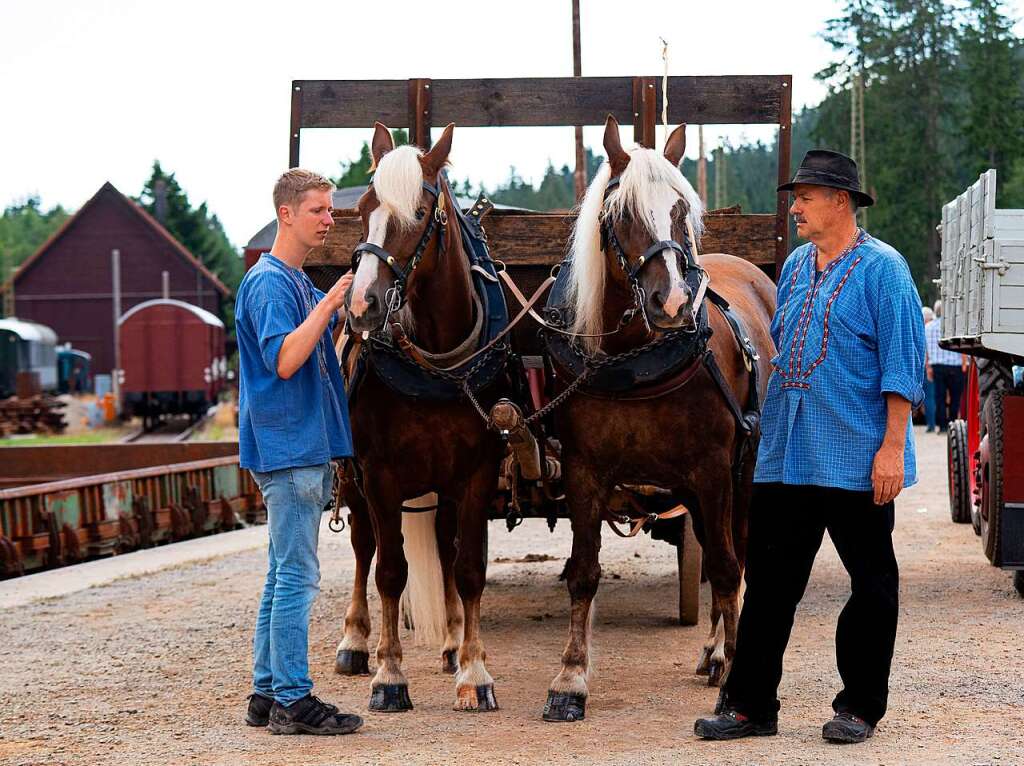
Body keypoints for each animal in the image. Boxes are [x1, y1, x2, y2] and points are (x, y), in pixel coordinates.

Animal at [337, 121, 505, 712]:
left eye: (417, 213)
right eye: (363, 208)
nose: (360, 305)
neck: (439, 361)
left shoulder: (477, 472)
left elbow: (469, 567)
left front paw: (474, 670)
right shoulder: (380, 476)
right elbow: (390, 571)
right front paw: (389, 674)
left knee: (447, 546)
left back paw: (453, 642)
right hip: (353, 482)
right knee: (364, 548)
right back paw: (355, 641)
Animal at [544, 116, 774, 720]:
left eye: (680, 210)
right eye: (622, 214)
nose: (670, 303)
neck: (636, 363)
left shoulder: (715, 469)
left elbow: (726, 568)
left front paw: (733, 672)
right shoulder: (582, 472)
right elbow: (583, 573)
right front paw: (570, 678)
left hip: (742, 472)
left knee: (735, 554)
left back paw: (721, 653)